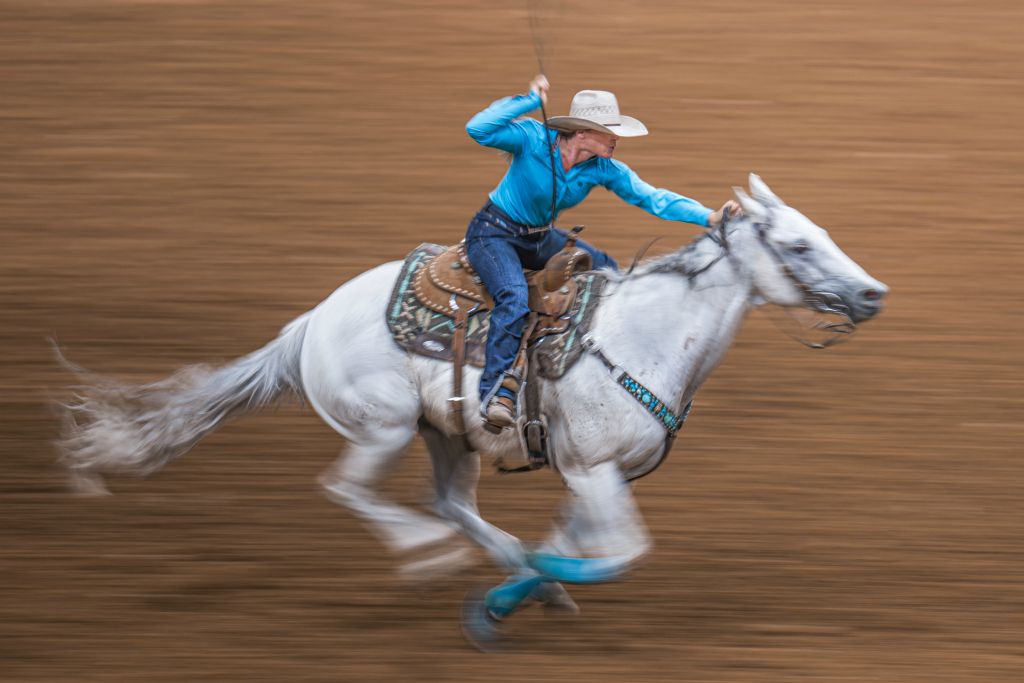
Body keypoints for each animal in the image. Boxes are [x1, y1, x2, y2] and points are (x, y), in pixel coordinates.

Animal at [58, 176, 888, 647]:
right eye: (796, 246)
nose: (872, 292)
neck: (641, 337)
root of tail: (311, 322)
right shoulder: (593, 469)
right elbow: (617, 554)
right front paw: (508, 596)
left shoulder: (595, 474)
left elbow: (576, 542)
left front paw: (515, 596)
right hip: (385, 424)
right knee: (350, 488)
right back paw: (428, 554)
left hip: (447, 433)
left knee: (452, 502)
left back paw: (507, 571)